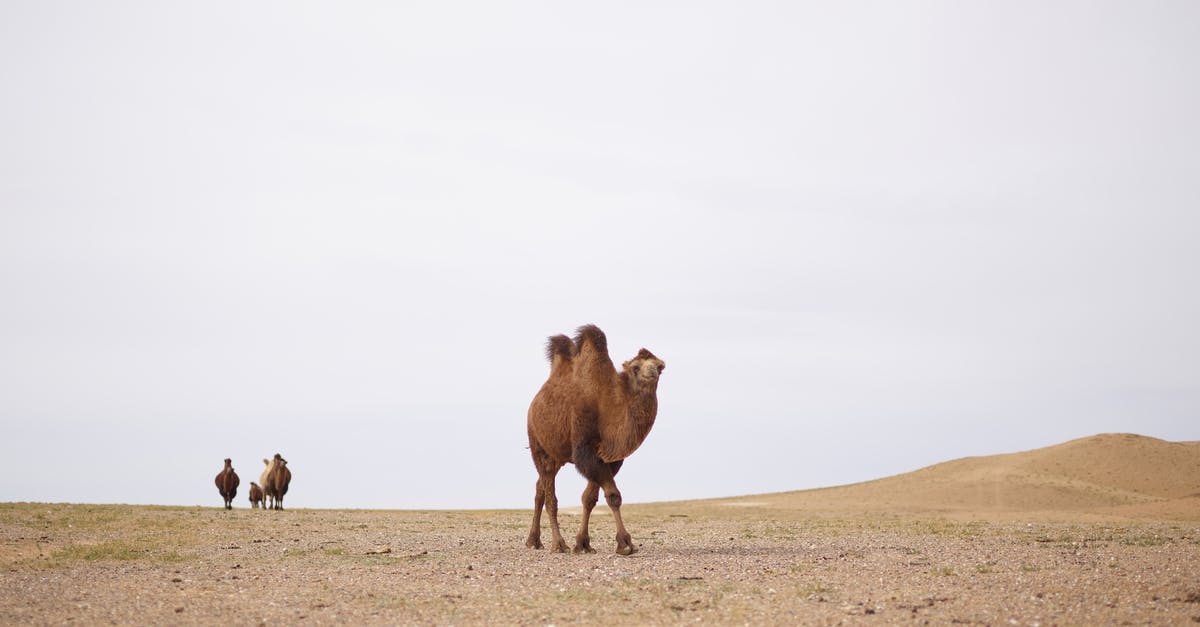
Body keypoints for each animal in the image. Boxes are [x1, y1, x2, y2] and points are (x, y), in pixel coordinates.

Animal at [525, 321, 667, 552]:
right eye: (636, 367)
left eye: (659, 366)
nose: (652, 372)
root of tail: (534, 404)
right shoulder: (585, 448)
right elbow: (613, 495)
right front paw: (625, 543)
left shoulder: (611, 458)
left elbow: (589, 498)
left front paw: (583, 543)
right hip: (538, 444)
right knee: (550, 497)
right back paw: (558, 544)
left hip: (557, 455)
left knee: (540, 489)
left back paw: (534, 540)